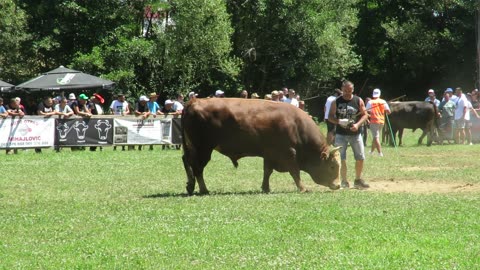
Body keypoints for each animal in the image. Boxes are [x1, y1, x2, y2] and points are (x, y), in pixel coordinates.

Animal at [180, 98, 342, 195]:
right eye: (332, 166)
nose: (338, 185)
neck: (296, 125)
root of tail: (194, 101)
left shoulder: (269, 154)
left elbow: (267, 171)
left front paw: (265, 188)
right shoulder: (289, 154)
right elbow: (295, 172)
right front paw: (302, 188)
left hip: (193, 148)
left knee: (187, 161)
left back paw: (191, 186)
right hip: (203, 149)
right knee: (197, 167)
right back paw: (203, 189)